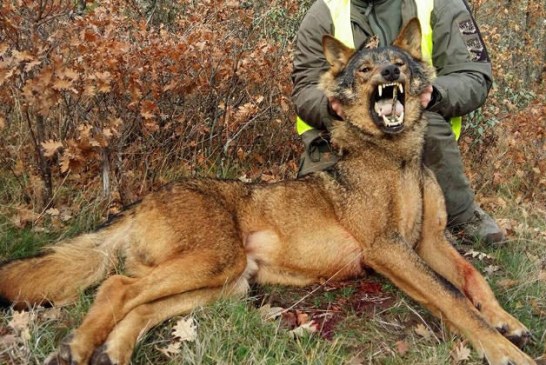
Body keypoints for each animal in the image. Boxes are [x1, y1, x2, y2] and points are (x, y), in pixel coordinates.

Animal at [0, 19, 536, 364]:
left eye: (399, 62)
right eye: (365, 70)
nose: (390, 75)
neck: (396, 156)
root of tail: (144, 200)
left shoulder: (428, 242)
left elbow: (472, 279)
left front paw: (507, 321)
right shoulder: (389, 248)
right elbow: (454, 300)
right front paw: (505, 351)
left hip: (227, 282)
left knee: (138, 303)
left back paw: (111, 351)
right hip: (214, 263)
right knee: (116, 285)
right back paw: (76, 347)